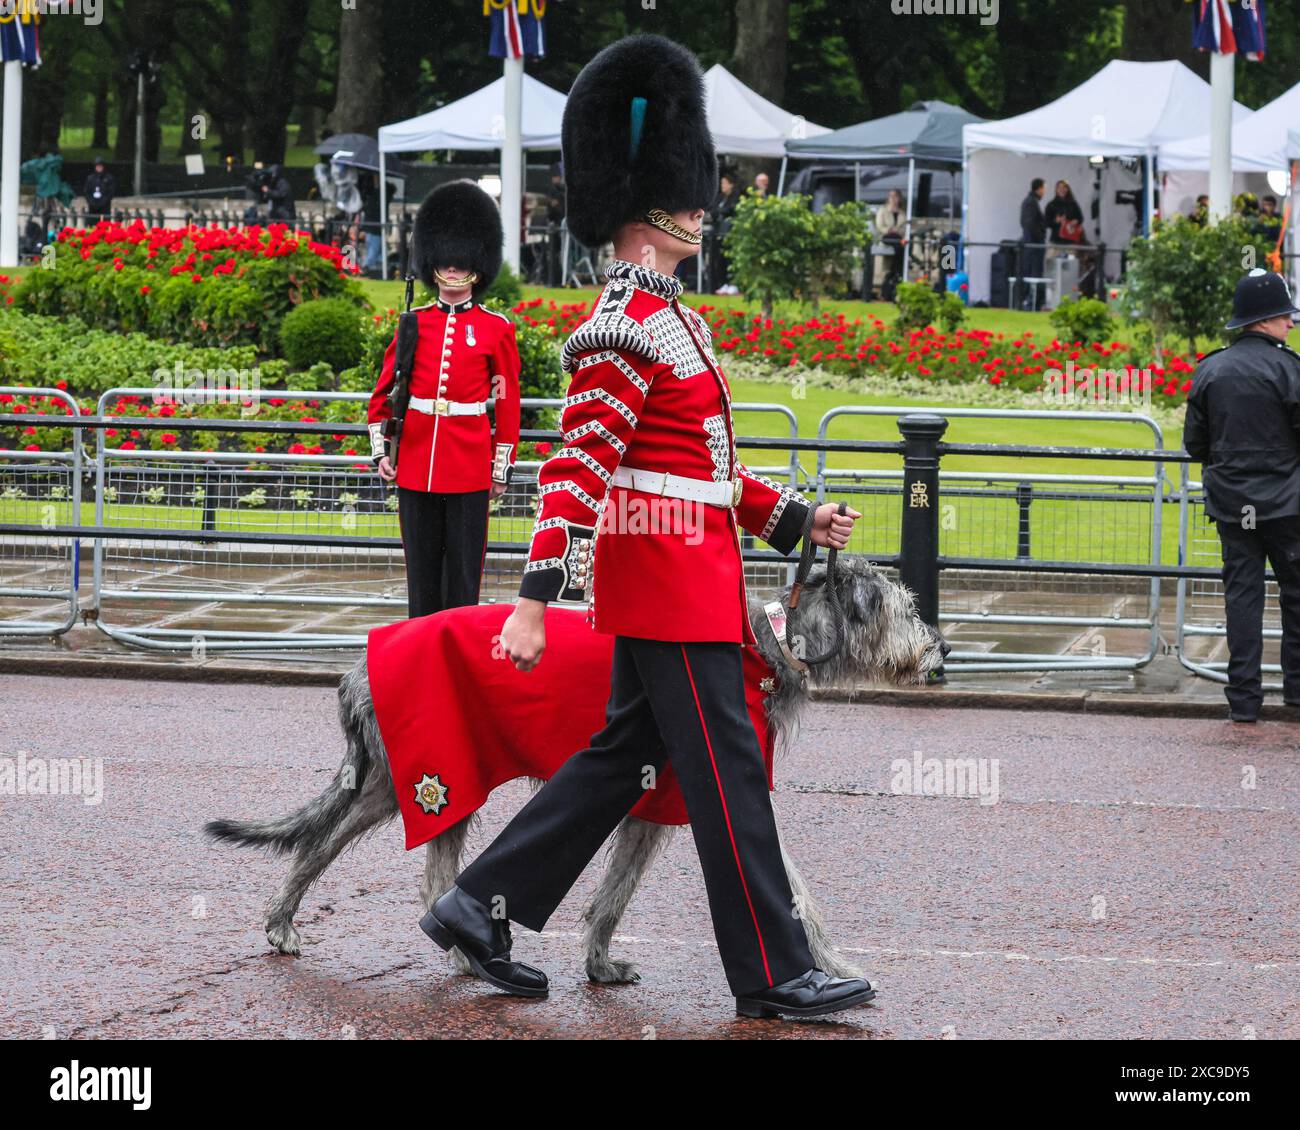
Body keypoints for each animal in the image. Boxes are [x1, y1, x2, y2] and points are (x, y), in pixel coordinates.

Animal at [205, 559, 946, 983]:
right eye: (901, 608)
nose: (941, 648)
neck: (767, 648)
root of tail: (358, 665)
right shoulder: (712, 768)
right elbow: (784, 879)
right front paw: (830, 968)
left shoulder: (655, 796)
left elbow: (615, 891)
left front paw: (598, 963)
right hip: (428, 775)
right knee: (360, 853)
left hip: (425, 778)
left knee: (381, 856)